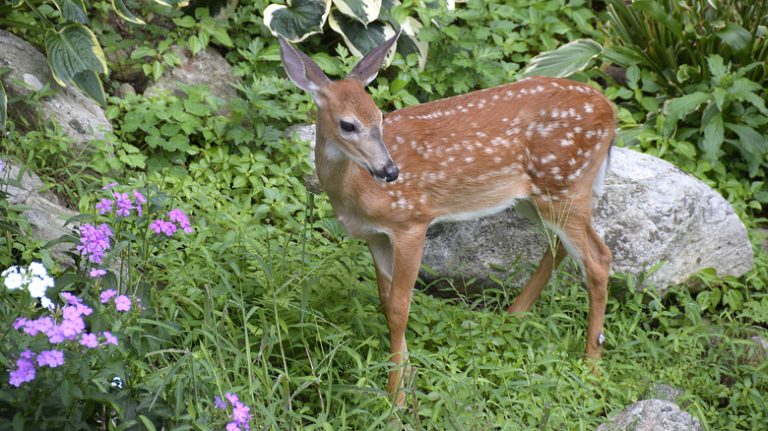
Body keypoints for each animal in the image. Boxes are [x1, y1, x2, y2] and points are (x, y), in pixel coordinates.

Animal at [280, 34, 616, 408]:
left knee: (598, 258)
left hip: (564, 183)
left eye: (379, 116)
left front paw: (396, 399)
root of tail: (610, 110)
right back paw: (513, 315)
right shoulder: (375, 235)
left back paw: (592, 365)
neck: (356, 192)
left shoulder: (412, 221)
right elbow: (385, 300)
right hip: (536, 196)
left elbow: (399, 308)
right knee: (562, 247)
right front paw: (409, 379)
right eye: (348, 124)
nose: (390, 171)